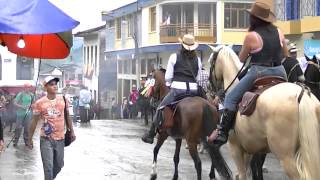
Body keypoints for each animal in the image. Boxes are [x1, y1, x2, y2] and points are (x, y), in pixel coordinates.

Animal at [209, 45, 320, 180]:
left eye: (211, 61)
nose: (210, 87)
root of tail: (302, 93)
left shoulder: (235, 147)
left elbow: (243, 174)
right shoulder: (253, 149)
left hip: (286, 156)